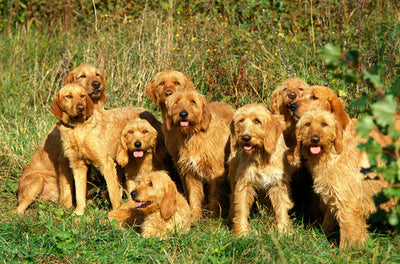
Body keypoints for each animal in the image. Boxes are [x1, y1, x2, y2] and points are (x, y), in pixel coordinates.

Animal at [11, 64, 107, 214]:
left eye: (97, 74)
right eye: (82, 76)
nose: (97, 84)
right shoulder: (64, 160)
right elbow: (67, 188)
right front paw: (69, 208)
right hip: (38, 180)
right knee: (19, 209)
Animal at [50, 84, 160, 214]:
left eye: (82, 95)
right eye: (68, 96)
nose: (81, 107)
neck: (77, 129)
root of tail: (151, 114)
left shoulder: (106, 164)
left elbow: (113, 194)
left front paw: (115, 213)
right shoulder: (78, 166)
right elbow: (79, 193)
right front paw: (78, 213)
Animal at [163, 88, 234, 219]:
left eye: (193, 101)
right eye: (176, 102)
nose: (183, 114)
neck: (195, 134)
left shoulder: (216, 172)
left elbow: (214, 196)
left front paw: (213, 217)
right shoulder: (191, 172)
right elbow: (194, 196)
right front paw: (195, 217)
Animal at [228, 103, 294, 235]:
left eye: (257, 121)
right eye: (241, 120)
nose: (246, 137)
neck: (261, 156)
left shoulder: (278, 183)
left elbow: (282, 207)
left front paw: (284, 231)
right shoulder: (244, 182)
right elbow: (241, 207)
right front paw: (242, 232)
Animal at [290, 109, 390, 248]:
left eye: (324, 124)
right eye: (307, 124)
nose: (314, 139)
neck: (332, 155)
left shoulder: (347, 204)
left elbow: (348, 233)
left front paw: (345, 251)